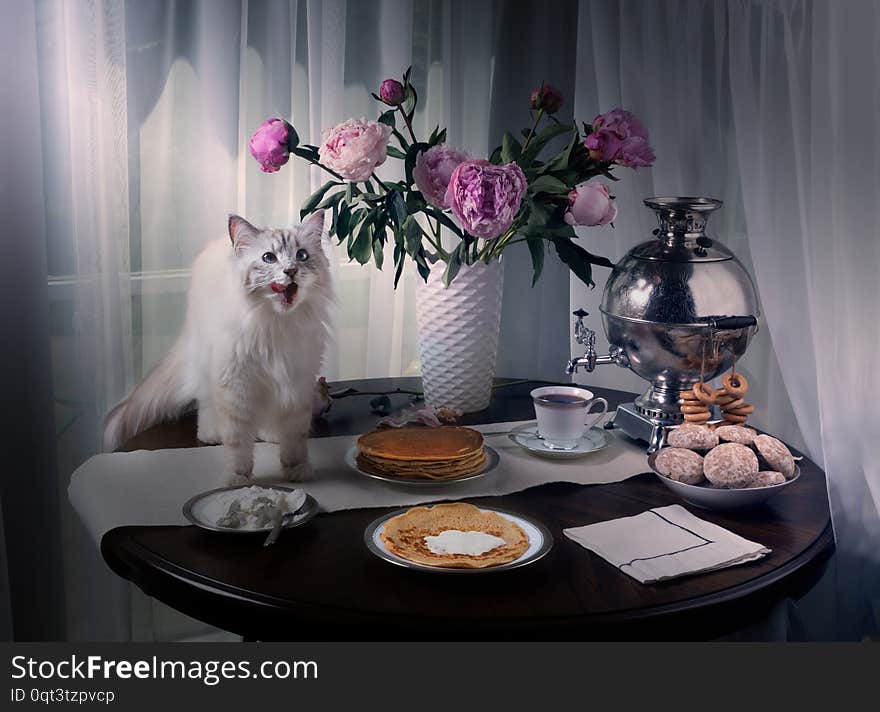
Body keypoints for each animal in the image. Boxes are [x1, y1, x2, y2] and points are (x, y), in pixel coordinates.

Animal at [102, 207, 334, 484]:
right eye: (269, 258)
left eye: (302, 255)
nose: (290, 271)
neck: (274, 325)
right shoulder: (236, 386)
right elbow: (238, 443)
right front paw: (237, 479)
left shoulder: (295, 383)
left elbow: (294, 439)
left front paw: (295, 471)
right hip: (207, 364)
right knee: (206, 404)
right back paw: (211, 434)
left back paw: (269, 435)